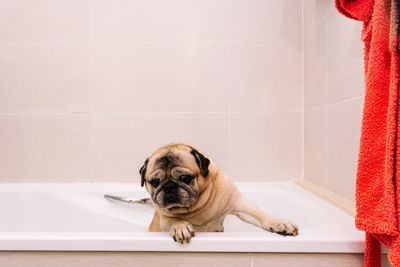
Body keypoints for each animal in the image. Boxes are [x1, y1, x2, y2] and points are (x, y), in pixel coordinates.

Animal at [139, 143, 298, 244]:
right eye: (155, 182)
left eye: (185, 178)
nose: (169, 187)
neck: (197, 208)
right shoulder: (164, 219)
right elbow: (175, 220)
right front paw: (181, 226)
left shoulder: (239, 204)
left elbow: (260, 215)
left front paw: (278, 223)